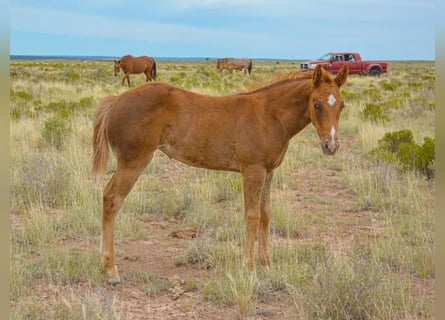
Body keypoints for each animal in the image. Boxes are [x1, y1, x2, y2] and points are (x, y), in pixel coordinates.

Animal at [93, 63, 346, 284]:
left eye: (342, 105)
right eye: (316, 104)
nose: (331, 146)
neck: (269, 116)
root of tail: (116, 101)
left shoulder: (269, 172)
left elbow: (265, 214)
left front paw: (267, 263)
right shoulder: (253, 171)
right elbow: (252, 216)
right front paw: (249, 267)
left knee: (106, 197)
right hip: (133, 163)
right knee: (112, 200)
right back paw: (111, 270)